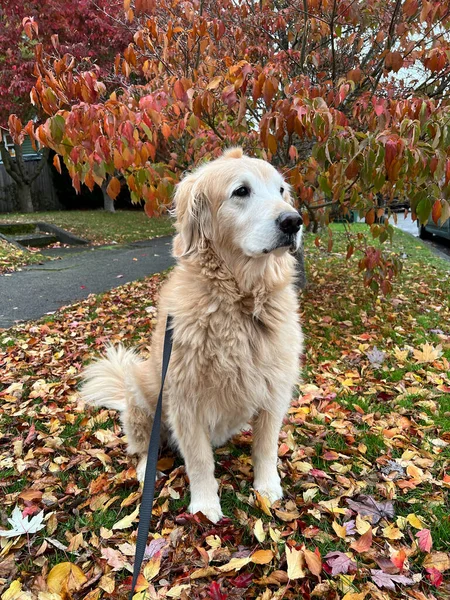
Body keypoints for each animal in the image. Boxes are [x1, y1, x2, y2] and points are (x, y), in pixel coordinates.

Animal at [82, 148, 304, 524]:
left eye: (281, 191)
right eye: (241, 191)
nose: (294, 222)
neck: (239, 303)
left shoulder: (274, 391)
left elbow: (266, 447)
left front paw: (267, 487)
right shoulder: (185, 403)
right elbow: (199, 462)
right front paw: (204, 506)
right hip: (141, 393)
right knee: (144, 447)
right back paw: (146, 470)